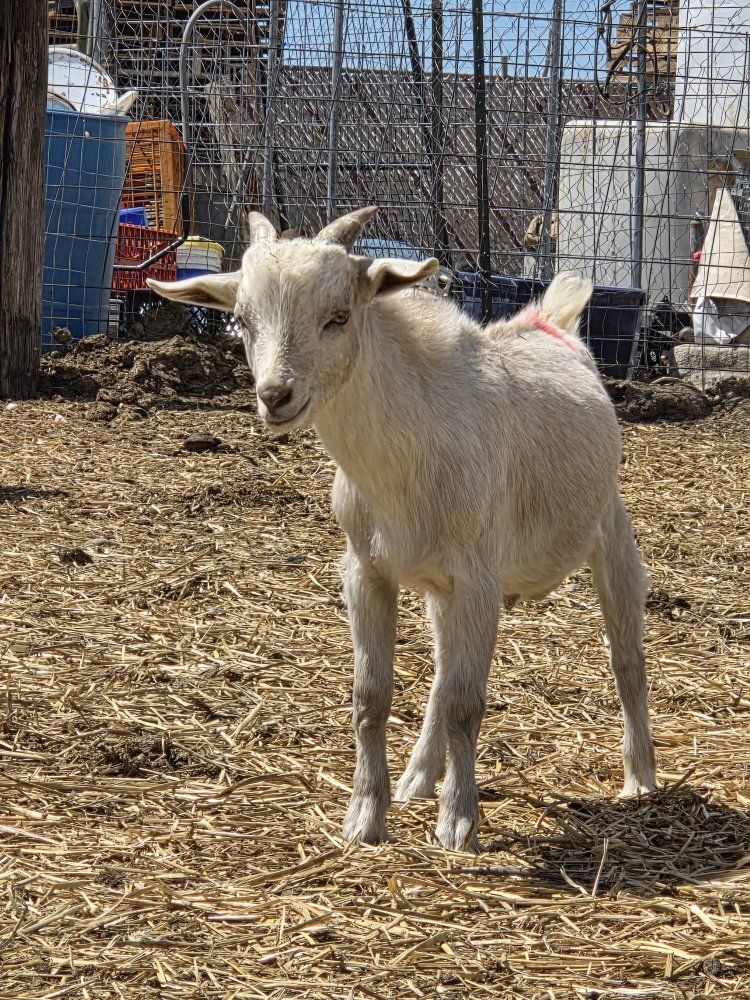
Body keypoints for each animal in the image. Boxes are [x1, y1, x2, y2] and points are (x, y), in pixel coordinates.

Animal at [148, 207, 657, 852]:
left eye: (339, 316)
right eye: (240, 320)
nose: (275, 397)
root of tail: (551, 322)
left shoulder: (478, 580)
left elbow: (467, 704)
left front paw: (458, 823)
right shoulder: (367, 572)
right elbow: (373, 696)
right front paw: (365, 817)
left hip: (609, 530)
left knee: (626, 657)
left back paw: (640, 778)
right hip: (444, 590)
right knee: (443, 670)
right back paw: (418, 777)